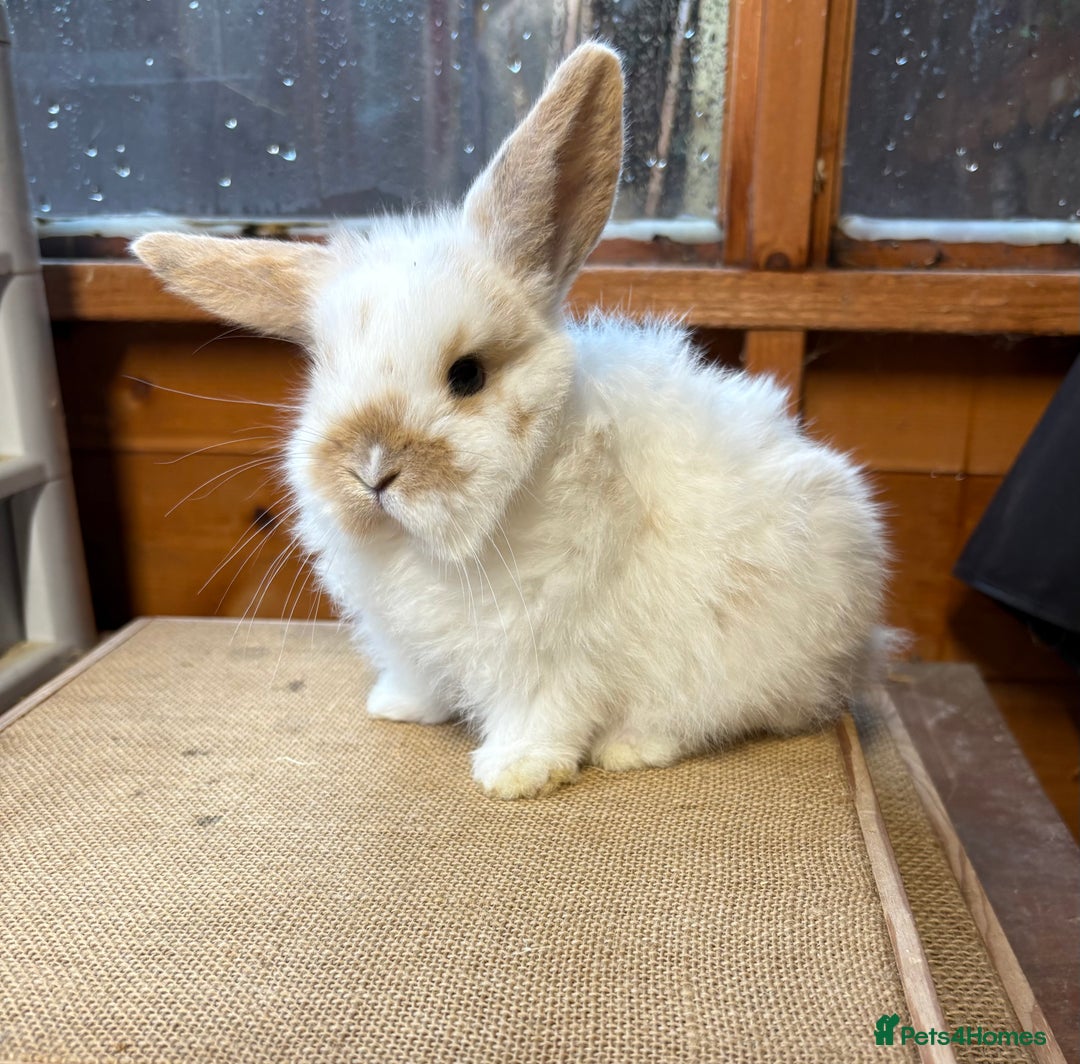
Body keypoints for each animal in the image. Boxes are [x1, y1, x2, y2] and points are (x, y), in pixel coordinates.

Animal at [132, 42, 890, 800]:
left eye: (468, 375)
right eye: (323, 372)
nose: (371, 472)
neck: (435, 546)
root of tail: (859, 653)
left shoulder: (558, 650)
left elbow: (545, 710)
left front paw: (516, 773)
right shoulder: (412, 641)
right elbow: (420, 677)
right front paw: (399, 707)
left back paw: (633, 747)